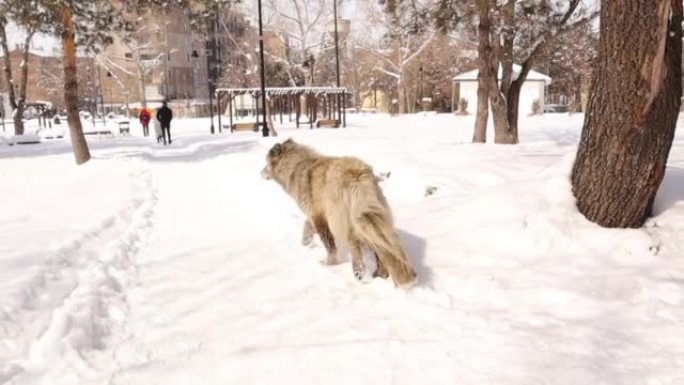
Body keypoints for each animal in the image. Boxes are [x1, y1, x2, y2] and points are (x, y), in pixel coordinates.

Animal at [260, 140, 414, 286]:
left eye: (266, 163)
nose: (260, 173)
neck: (296, 165)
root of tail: (357, 175)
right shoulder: (315, 213)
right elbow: (307, 227)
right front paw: (305, 243)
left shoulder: (318, 216)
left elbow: (328, 243)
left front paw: (328, 263)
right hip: (369, 217)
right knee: (379, 247)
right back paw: (380, 273)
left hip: (344, 220)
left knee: (355, 246)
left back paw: (359, 273)